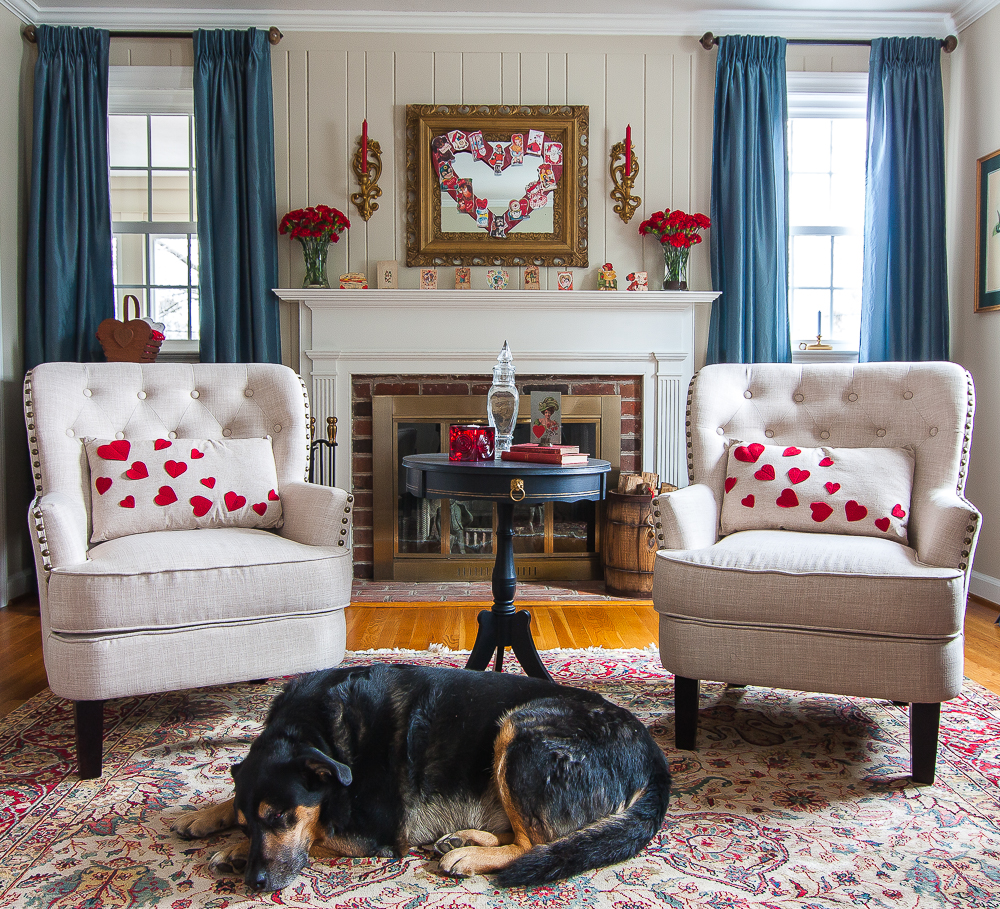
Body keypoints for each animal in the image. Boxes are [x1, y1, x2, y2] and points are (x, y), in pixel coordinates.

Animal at [170, 664, 672, 892]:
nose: (254, 882)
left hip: (521, 729)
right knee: (527, 835)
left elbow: (315, 835)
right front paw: (207, 818)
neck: (318, 731)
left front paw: (232, 850)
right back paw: (463, 839)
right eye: (248, 822)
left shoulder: (376, 831)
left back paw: (469, 855)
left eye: (279, 816)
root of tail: (655, 759)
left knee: (536, 843)